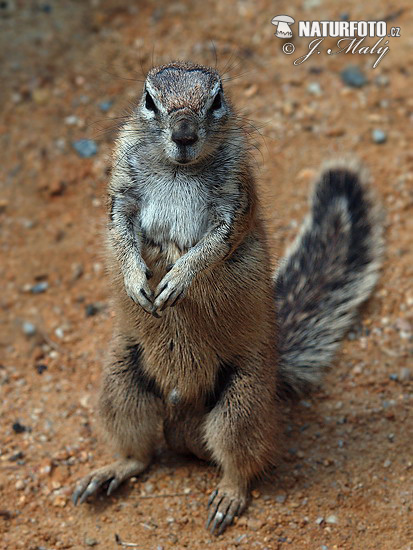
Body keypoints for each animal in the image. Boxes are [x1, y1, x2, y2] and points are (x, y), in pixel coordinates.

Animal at [71, 60, 384, 536]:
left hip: (241, 404)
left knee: (241, 461)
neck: (179, 170)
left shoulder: (236, 200)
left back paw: (227, 498)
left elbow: (215, 245)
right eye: (149, 100)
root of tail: (183, 433)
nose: (183, 134)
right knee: (139, 454)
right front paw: (136, 280)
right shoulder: (121, 191)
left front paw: (179, 278)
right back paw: (109, 472)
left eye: (216, 100)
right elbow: (121, 231)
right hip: (120, 385)